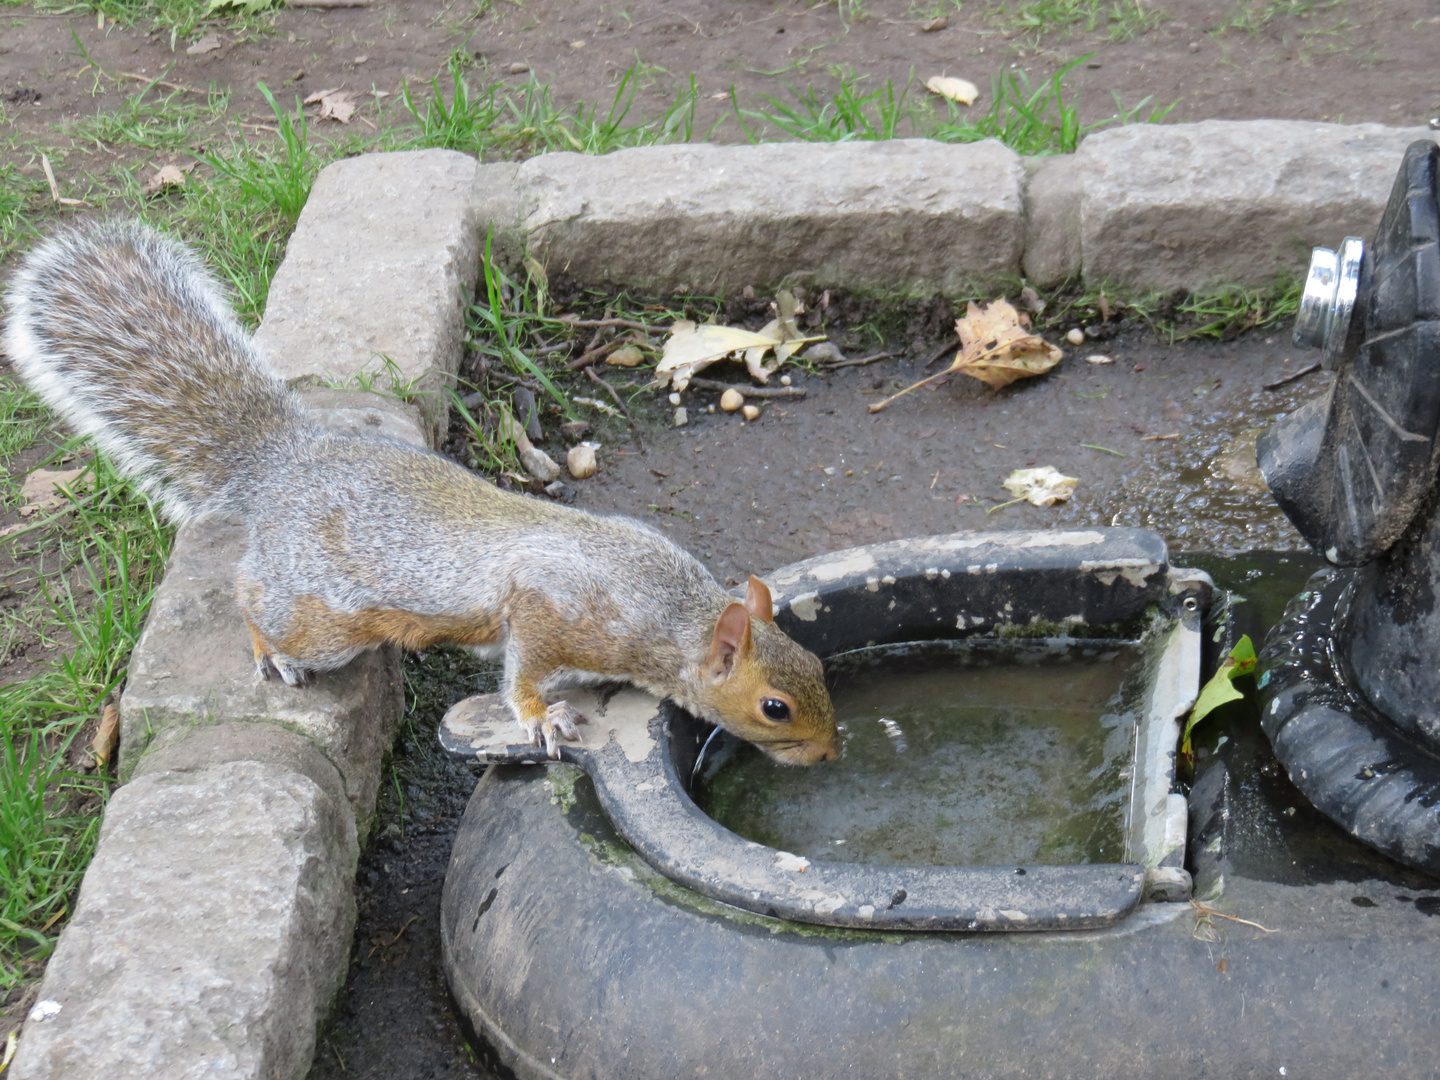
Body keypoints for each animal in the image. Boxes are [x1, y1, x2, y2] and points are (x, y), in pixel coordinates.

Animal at [0, 217, 840, 760]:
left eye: (820, 666)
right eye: (774, 707)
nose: (831, 753)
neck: (671, 615)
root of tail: (283, 464)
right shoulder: (551, 611)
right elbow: (523, 668)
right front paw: (540, 716)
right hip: (321, 615)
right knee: (252, 596)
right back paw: (275, 657)